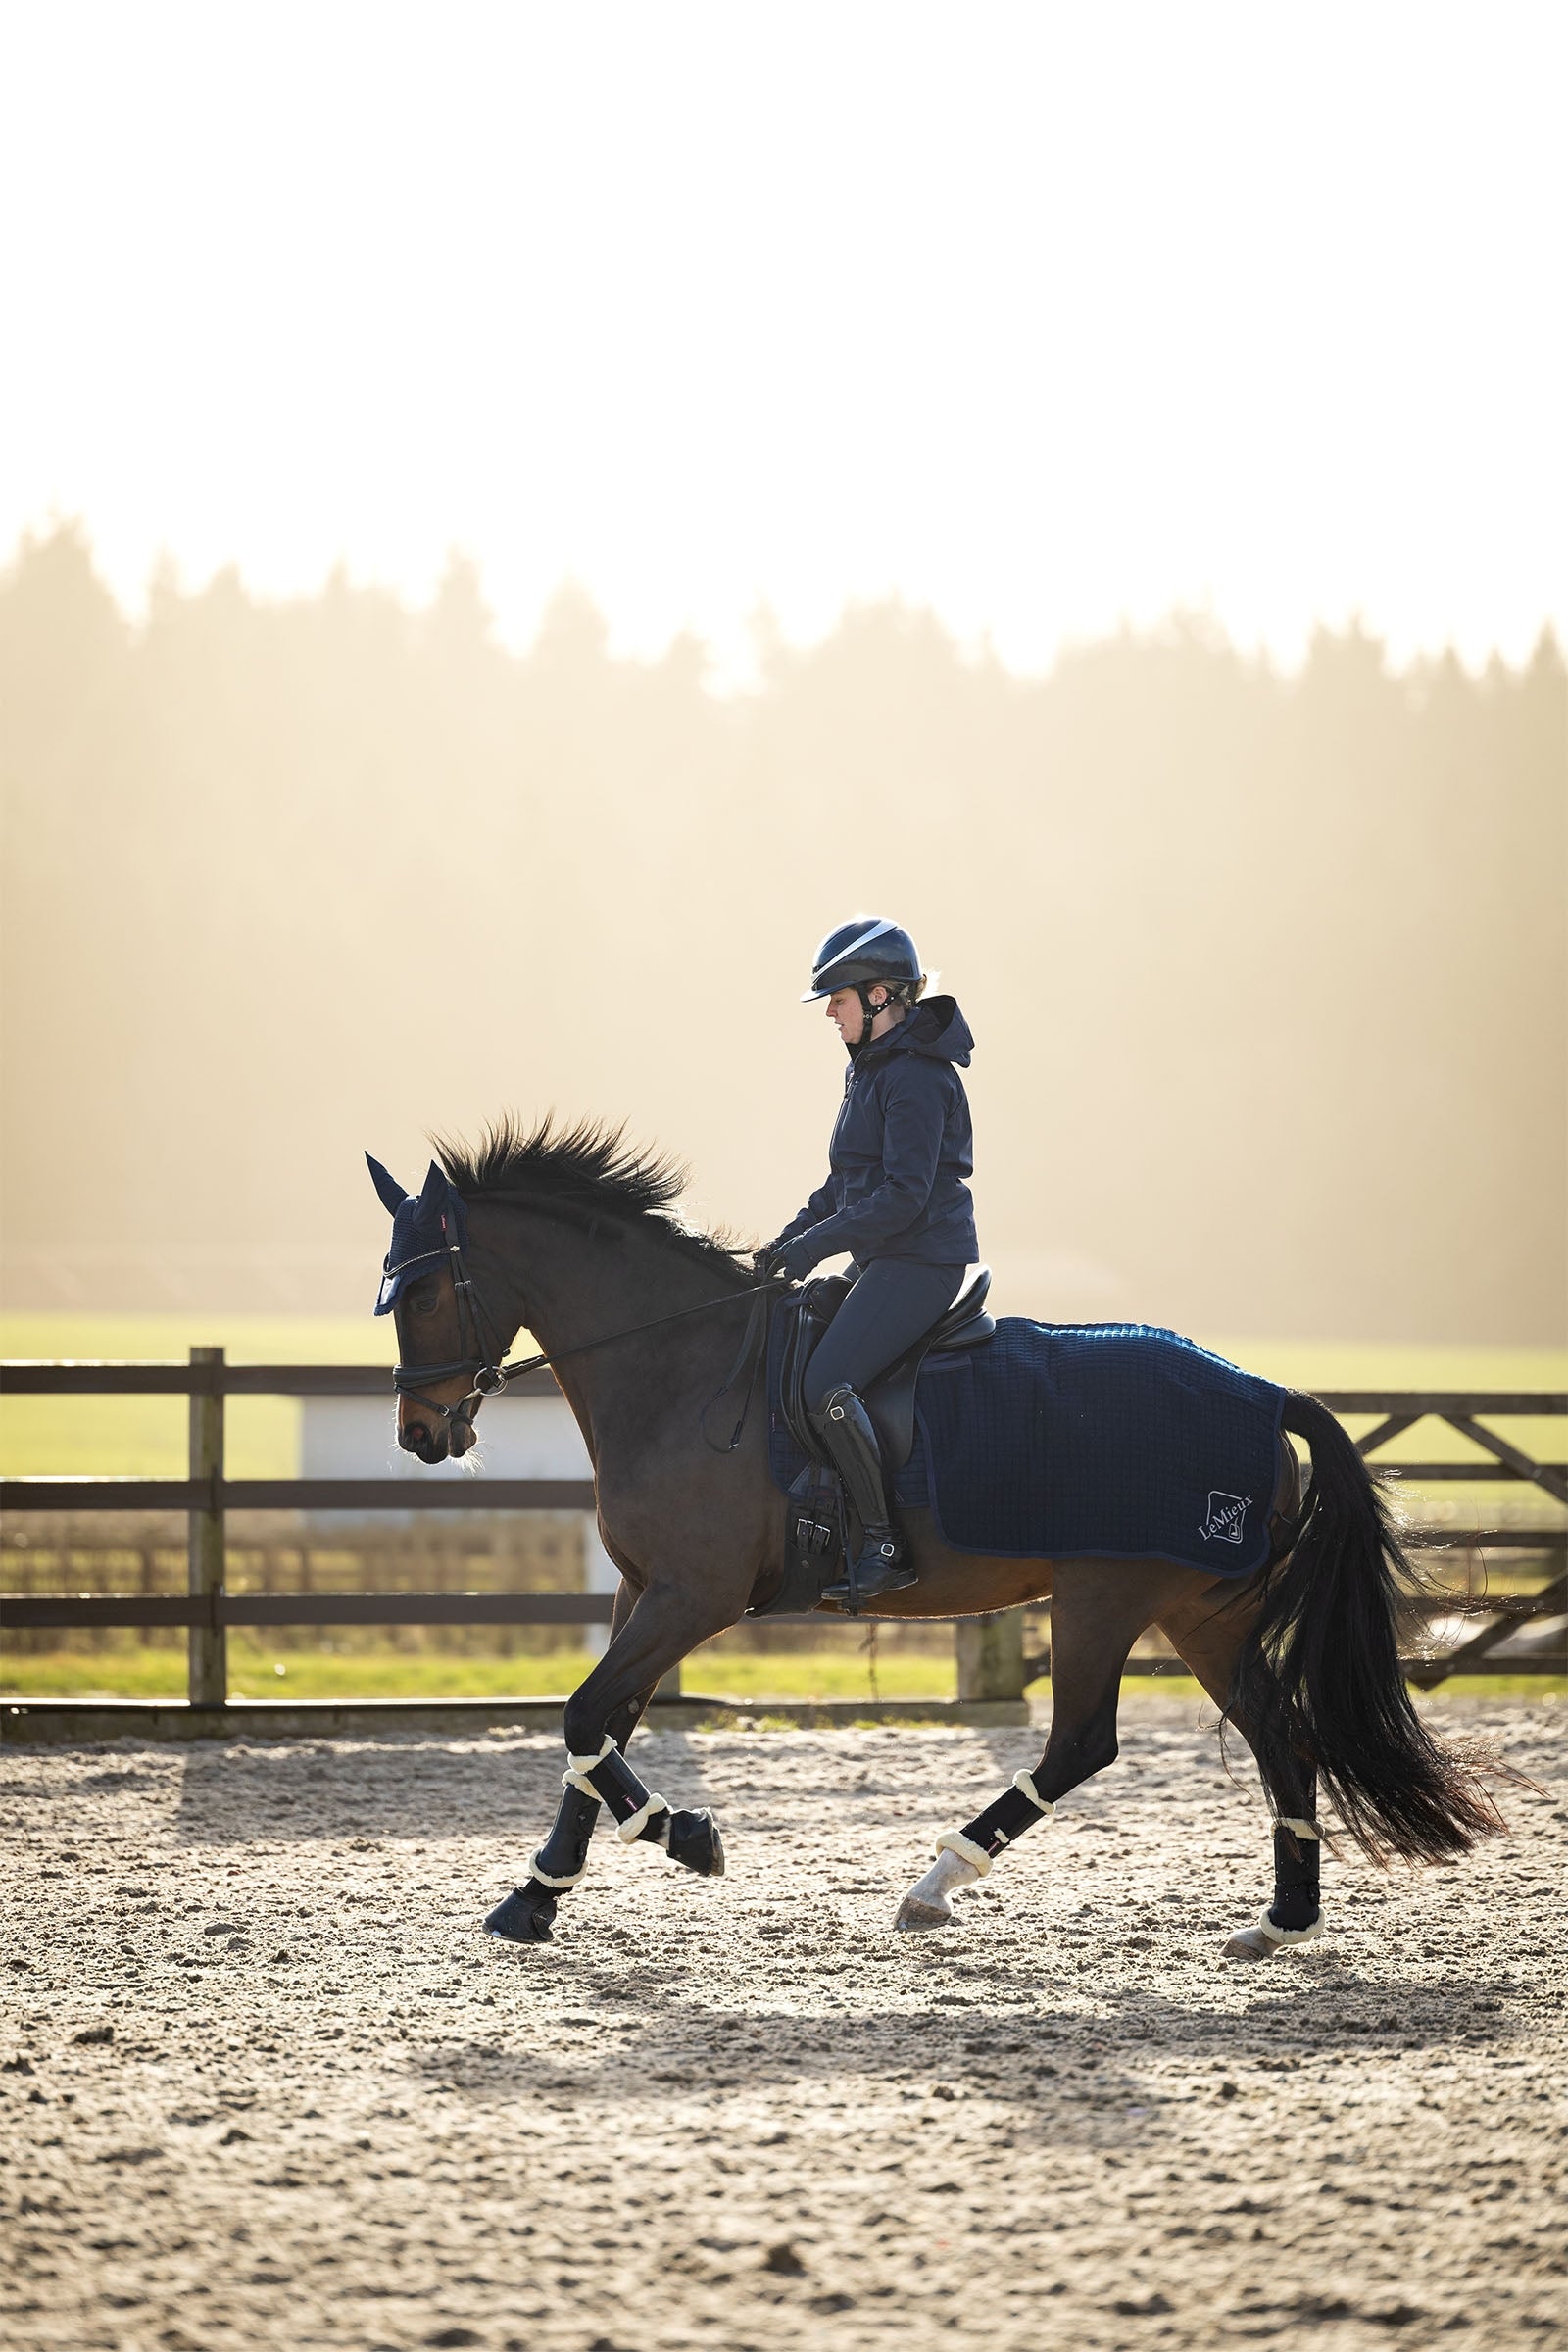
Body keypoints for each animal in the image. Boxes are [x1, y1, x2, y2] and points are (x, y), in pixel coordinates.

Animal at [368, 1113, 1501, 1952]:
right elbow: (597, 1728)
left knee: (1083, 1742)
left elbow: (583, 1716)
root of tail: (1265, 1395)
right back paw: (1281, 1921)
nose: (421, 1434)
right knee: (1278, 1731)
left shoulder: (694, 1596)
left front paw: (687, 1838)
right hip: (1203, 1614)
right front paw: (537, 1897)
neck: (683, 1368)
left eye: (418, 1291)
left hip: (1105, 1597)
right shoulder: (642, 1589)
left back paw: (935, 1882)